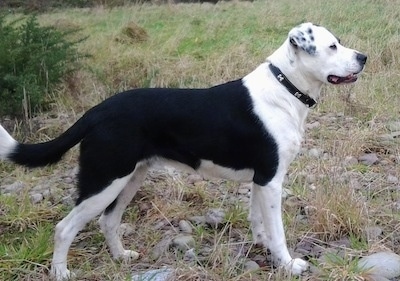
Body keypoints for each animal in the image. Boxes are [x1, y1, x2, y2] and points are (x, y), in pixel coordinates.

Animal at [0, 22, 366, 278]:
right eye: (332, 46)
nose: (363, 57)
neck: (284, 87)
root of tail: (96, 111)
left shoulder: (261, 181)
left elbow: (258, 220)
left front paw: (262, 246)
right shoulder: (271, 180)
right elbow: (277, 231)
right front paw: (288, 264)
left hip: (129, 179)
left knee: (109, 221)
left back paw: (121, 257)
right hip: (104, 180)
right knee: (65, 228)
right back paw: (61, 271)